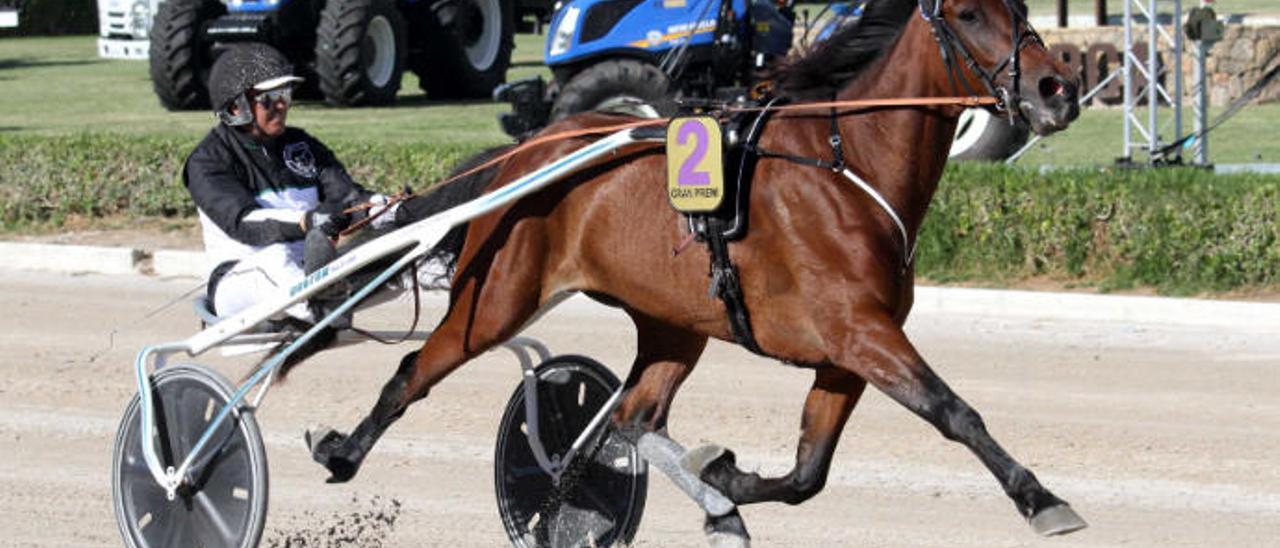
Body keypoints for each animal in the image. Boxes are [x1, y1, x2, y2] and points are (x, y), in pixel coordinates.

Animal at [307, 0, 1080, 540]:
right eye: (968, 13)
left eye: (1019, 7)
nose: (1056, 87)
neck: (846, 166)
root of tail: (530, 152)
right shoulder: (859, 332)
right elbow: (954, 411)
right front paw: (1042, 498)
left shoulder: (848, 351)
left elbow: (807, 472)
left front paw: (727, 481)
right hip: (494, 300)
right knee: (414, 372)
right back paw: (340, 450)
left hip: (673, 322)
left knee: (632, 415)